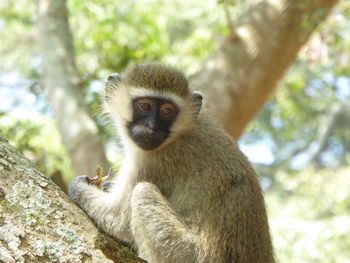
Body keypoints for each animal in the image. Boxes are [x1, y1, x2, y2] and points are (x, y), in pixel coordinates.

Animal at [69, 63, 276, 262]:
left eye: (167, 111)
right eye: (145, 106)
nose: (151, 127)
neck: (178, 134)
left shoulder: (154, 161)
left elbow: (118, 218)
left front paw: (78, 187)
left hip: (186, 254)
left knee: (142, 192)